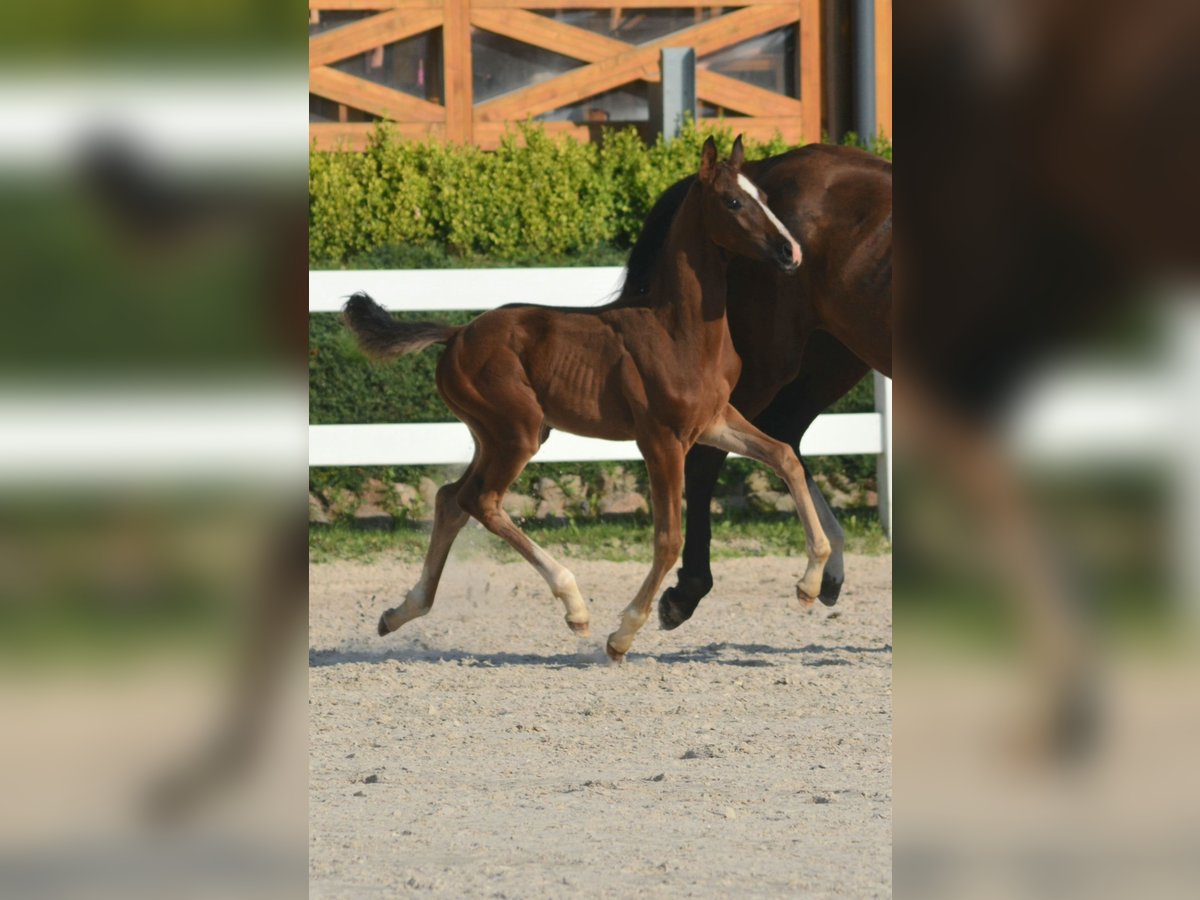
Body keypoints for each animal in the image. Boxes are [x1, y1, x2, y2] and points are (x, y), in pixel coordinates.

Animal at [345, 139, 835, 662]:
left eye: (763, 195)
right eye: (734, 202)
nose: (791, 252)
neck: (679, 330)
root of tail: (457, 333)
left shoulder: (714, 421)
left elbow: (784, 457)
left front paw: (809, 584)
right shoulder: (661, 440)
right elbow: (669, 538)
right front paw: (623, 634)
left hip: (496, 435)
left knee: (450, 499)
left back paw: (400, 612)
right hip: (516, 432)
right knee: (481, 501)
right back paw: (574, 605)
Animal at [614, 144, 897, 628]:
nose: (789, 251)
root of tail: (760, 165)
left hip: (831, 358)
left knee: (784, 438)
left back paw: (825, 568)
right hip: (773, 360)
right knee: (711, 454)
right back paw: (687, 593)